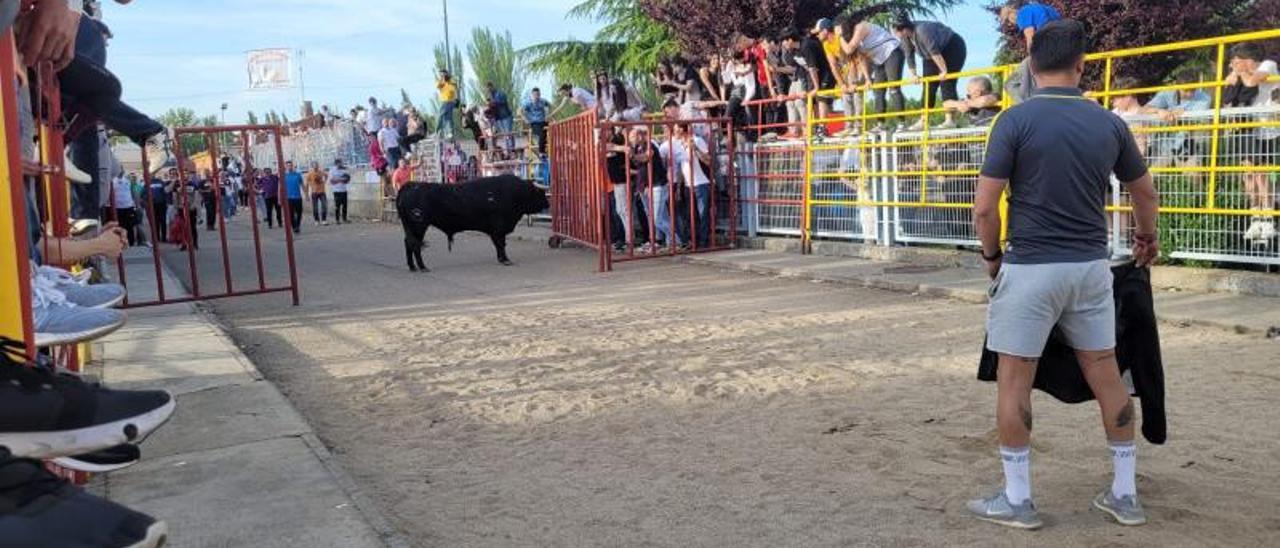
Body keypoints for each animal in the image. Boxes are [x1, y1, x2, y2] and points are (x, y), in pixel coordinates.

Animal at [391, 174, 547, 270]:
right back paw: (422, 267)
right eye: (539, 193)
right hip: (418, 226)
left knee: (408, 243)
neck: (516, 192)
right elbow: (501, 245)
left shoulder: (495, 231)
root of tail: (410, 185)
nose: (547, 203)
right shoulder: (499, 229)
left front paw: (501, 259)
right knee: (415, 245)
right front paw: (506, 260)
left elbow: (498, 245)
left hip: (409, 227)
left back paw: (412, 267)